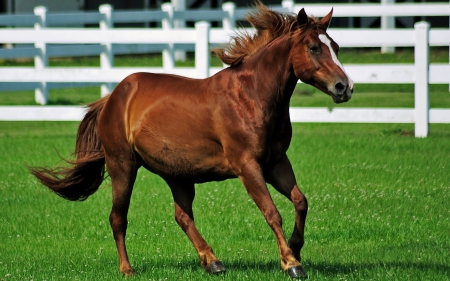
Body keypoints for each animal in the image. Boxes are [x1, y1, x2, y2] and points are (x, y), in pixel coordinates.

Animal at [30, 3, 356, 278]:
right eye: (314, 48)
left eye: (336, 47)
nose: (345, 87)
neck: (251, 97)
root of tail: (113, 97)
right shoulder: (248, 166)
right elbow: (272, 212)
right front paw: (290, 263)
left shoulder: (276, 162)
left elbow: (301, 202)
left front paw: (296, 248)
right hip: (123, 166)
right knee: (118, 217)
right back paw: (127, 269)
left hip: (179, 175)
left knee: (182, 216)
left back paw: (212, 261)